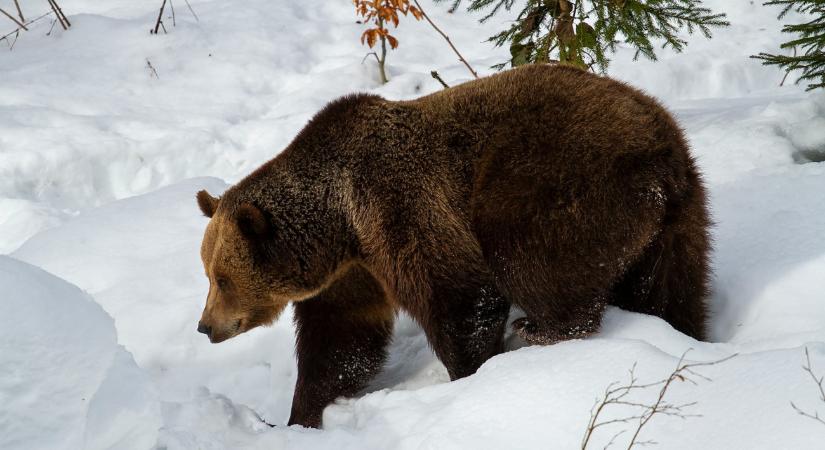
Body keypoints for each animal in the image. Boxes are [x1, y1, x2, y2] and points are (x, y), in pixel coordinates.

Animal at [193, 64, 708, 428]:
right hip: (680, 220)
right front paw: (302, 415)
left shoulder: (398, 205)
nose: (204, 326)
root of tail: (659, 156)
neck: (341, 222)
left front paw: (471, 376)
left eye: (222, 278)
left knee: (529, 257)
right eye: (209, 274)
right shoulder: (352, 272)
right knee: (670, 291)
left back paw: (540, 329)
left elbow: (461, 295)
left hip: (554, 180)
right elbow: (342, 340)